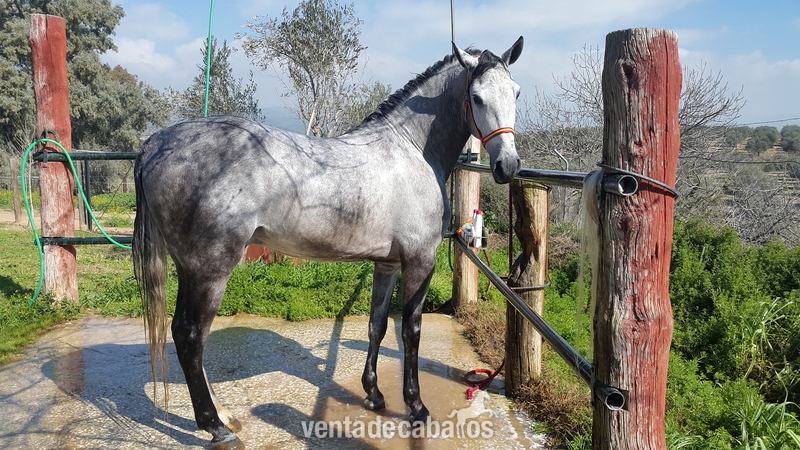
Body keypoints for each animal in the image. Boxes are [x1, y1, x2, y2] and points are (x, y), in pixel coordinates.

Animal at [132, 37, 524, 450]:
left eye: (515, 92)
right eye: (477, 97)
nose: (508, 166)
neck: (411, 150)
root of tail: (154, 145)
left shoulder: (387, 263)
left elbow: (376, 324)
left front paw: (374, 394)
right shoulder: (420, 260)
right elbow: (410, 331)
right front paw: (416, 406)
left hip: (189, 268)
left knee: (184, 334)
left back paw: (223, 416)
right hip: (210, 270)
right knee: (191, 337)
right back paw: (216, 427)